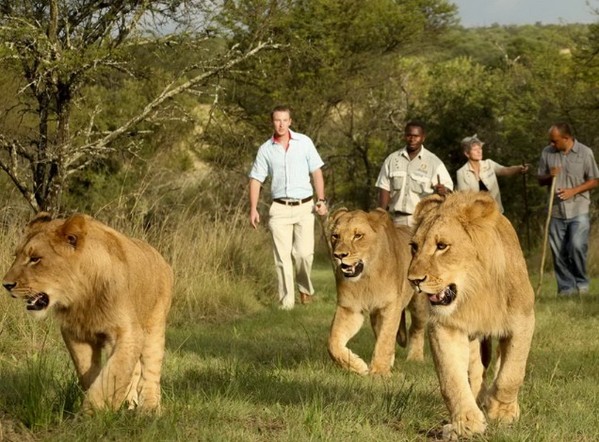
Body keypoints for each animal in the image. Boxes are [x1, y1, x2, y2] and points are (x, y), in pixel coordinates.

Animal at [2, 212, 175, 412]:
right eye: (16, 256)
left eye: (35, 258)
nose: (6, 285)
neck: (82, 298)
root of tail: (161, 258)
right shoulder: (76, 334)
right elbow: (91, 373)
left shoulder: (129, 333)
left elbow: (113, 372)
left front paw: (93, 411)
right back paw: (129, 403)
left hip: (155, 327)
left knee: (151, 371)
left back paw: (150, 408)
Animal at [326, 209, 428, 374]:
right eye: (335, 236)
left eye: (358, 235)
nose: (339, 255)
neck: (366, 278)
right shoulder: (350, 308)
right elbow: (333, 342)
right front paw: (358, 366)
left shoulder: (390, 306)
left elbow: (385, 339)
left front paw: (379, 371)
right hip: (375, 315)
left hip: (418, 306)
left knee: (416, 329)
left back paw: (415, 358)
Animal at [410, 193, 536, 438]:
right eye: (414, 247)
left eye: (442, 246)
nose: (414, 280)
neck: (475, 293)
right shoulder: (445, 327)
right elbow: (451, 378)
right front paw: (467, 421)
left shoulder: (523, 320)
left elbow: (511, 373)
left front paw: (501, 411)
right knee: (475, 372)